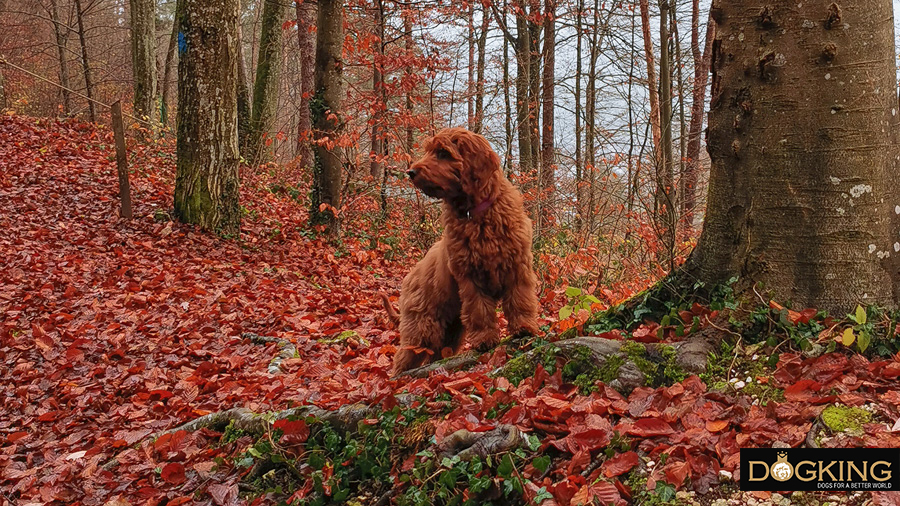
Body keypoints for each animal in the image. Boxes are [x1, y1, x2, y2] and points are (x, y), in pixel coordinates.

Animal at [388, 129, 540, 376]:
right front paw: (485, 339)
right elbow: (479, 311)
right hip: (421, 327)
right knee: (403, 357)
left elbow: (521, 299)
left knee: (437, 354)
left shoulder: (518, 266)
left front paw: (524, 327)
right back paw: (397, 378)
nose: (410, 172)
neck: (474, 214)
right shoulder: (469, 277)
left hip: (451, 330)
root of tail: (409, 276)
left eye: (443, 153)